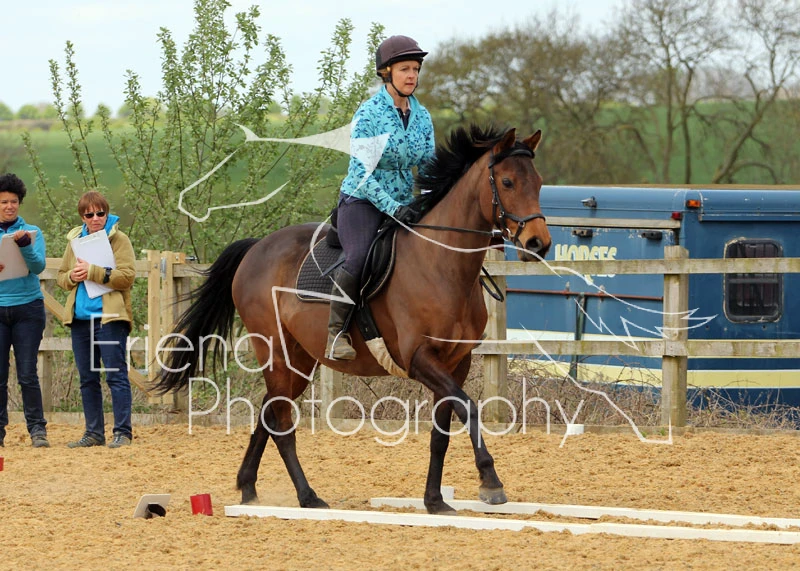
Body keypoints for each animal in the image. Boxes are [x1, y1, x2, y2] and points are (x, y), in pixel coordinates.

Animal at [155, 124, 551, 515]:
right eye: (507, 182)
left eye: (538, 182)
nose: (538, 244)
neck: (442, 265)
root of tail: (256, 248)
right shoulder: (419, 358)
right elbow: (468, 408)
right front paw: (491, 483)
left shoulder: (456, 362)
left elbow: (441, 433)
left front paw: (435, 501)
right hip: (276, 352)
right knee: (281, 421)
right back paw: (307, 497)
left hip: (299, 360)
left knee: (270, 411)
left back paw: (249, 488)